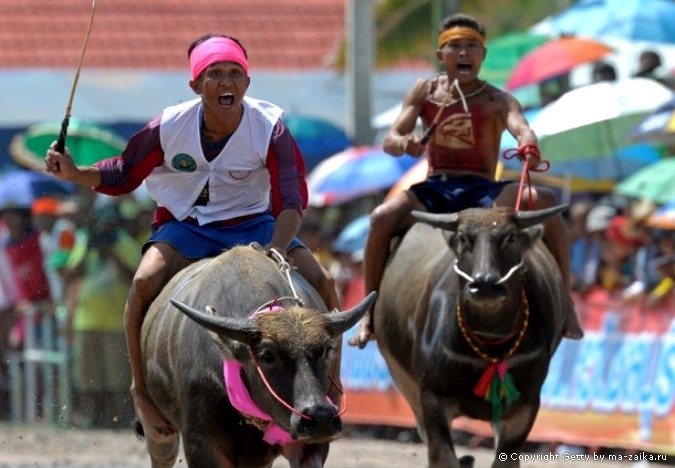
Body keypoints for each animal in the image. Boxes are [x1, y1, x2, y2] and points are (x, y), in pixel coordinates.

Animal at [140, 245, 378, 468]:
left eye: (327, 350)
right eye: (267, 355)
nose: (320, 417)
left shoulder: (307, 444)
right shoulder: (200, 443)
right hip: (159, 431)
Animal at [374, 206, 572, 468]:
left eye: (510, 237)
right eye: (463, 238)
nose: (485, 284)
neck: (491, 341)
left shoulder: (526, 403)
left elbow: (505, 459)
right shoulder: (432, 396)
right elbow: (443, 457)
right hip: (405, 383)